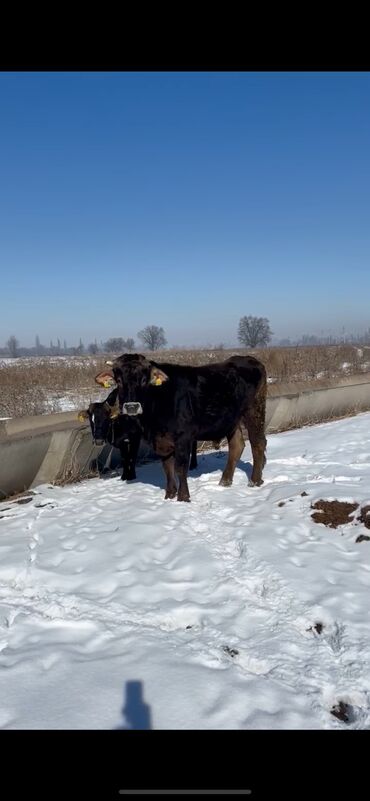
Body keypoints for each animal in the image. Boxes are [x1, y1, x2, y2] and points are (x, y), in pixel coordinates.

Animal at [94, 352, 268, 500]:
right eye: (118, 381)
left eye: (144, 380)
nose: (131, 407)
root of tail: (250, 359)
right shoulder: (161, 441)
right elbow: (167, 468)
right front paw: (170, 495)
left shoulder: (183, 437)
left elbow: (180, 467)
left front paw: (183, 497)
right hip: (231, 419)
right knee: (237, 445)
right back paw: (224, 481)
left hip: (254, 411)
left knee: (258, 443)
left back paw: (254, 481)